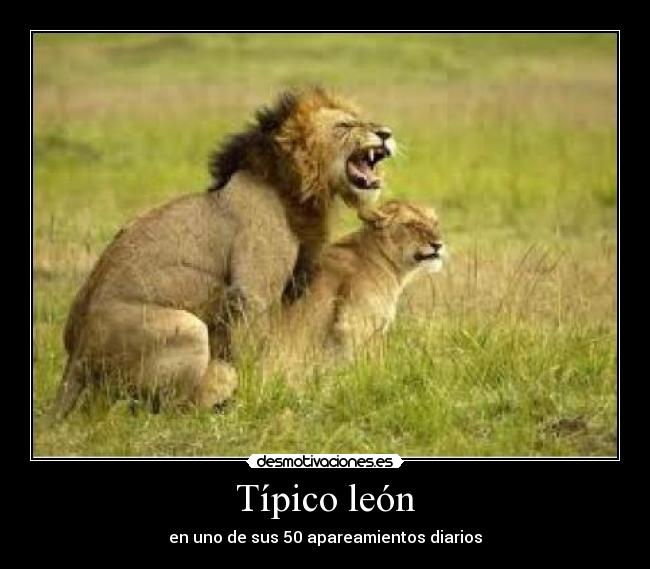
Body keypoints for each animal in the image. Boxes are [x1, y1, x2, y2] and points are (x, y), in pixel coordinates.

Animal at [51, 87, 396, 419]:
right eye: (345, 126)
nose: (386, 133)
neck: (299, 187)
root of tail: (75, 356)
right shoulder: (252, 292)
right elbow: (256, 349)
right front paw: (261, 393)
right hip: (187, 329)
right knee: (166, 407)